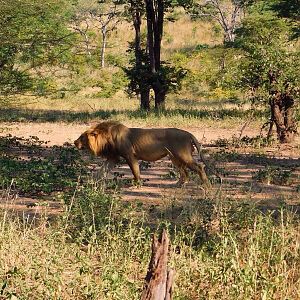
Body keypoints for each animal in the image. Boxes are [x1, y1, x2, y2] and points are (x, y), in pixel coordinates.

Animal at [74, 120, 211, 186]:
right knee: (184, 172)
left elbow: (135, 171)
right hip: (174, 157)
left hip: (183, 155)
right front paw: (92, 181)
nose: (74, 142)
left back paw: (205, 184)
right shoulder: (113, 157)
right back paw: (179, 184)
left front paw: (137, 184)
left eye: (82, 137)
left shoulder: (129, 155)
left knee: (199, 167)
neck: (107, 138)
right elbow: (102, 170)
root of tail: (188, 133)